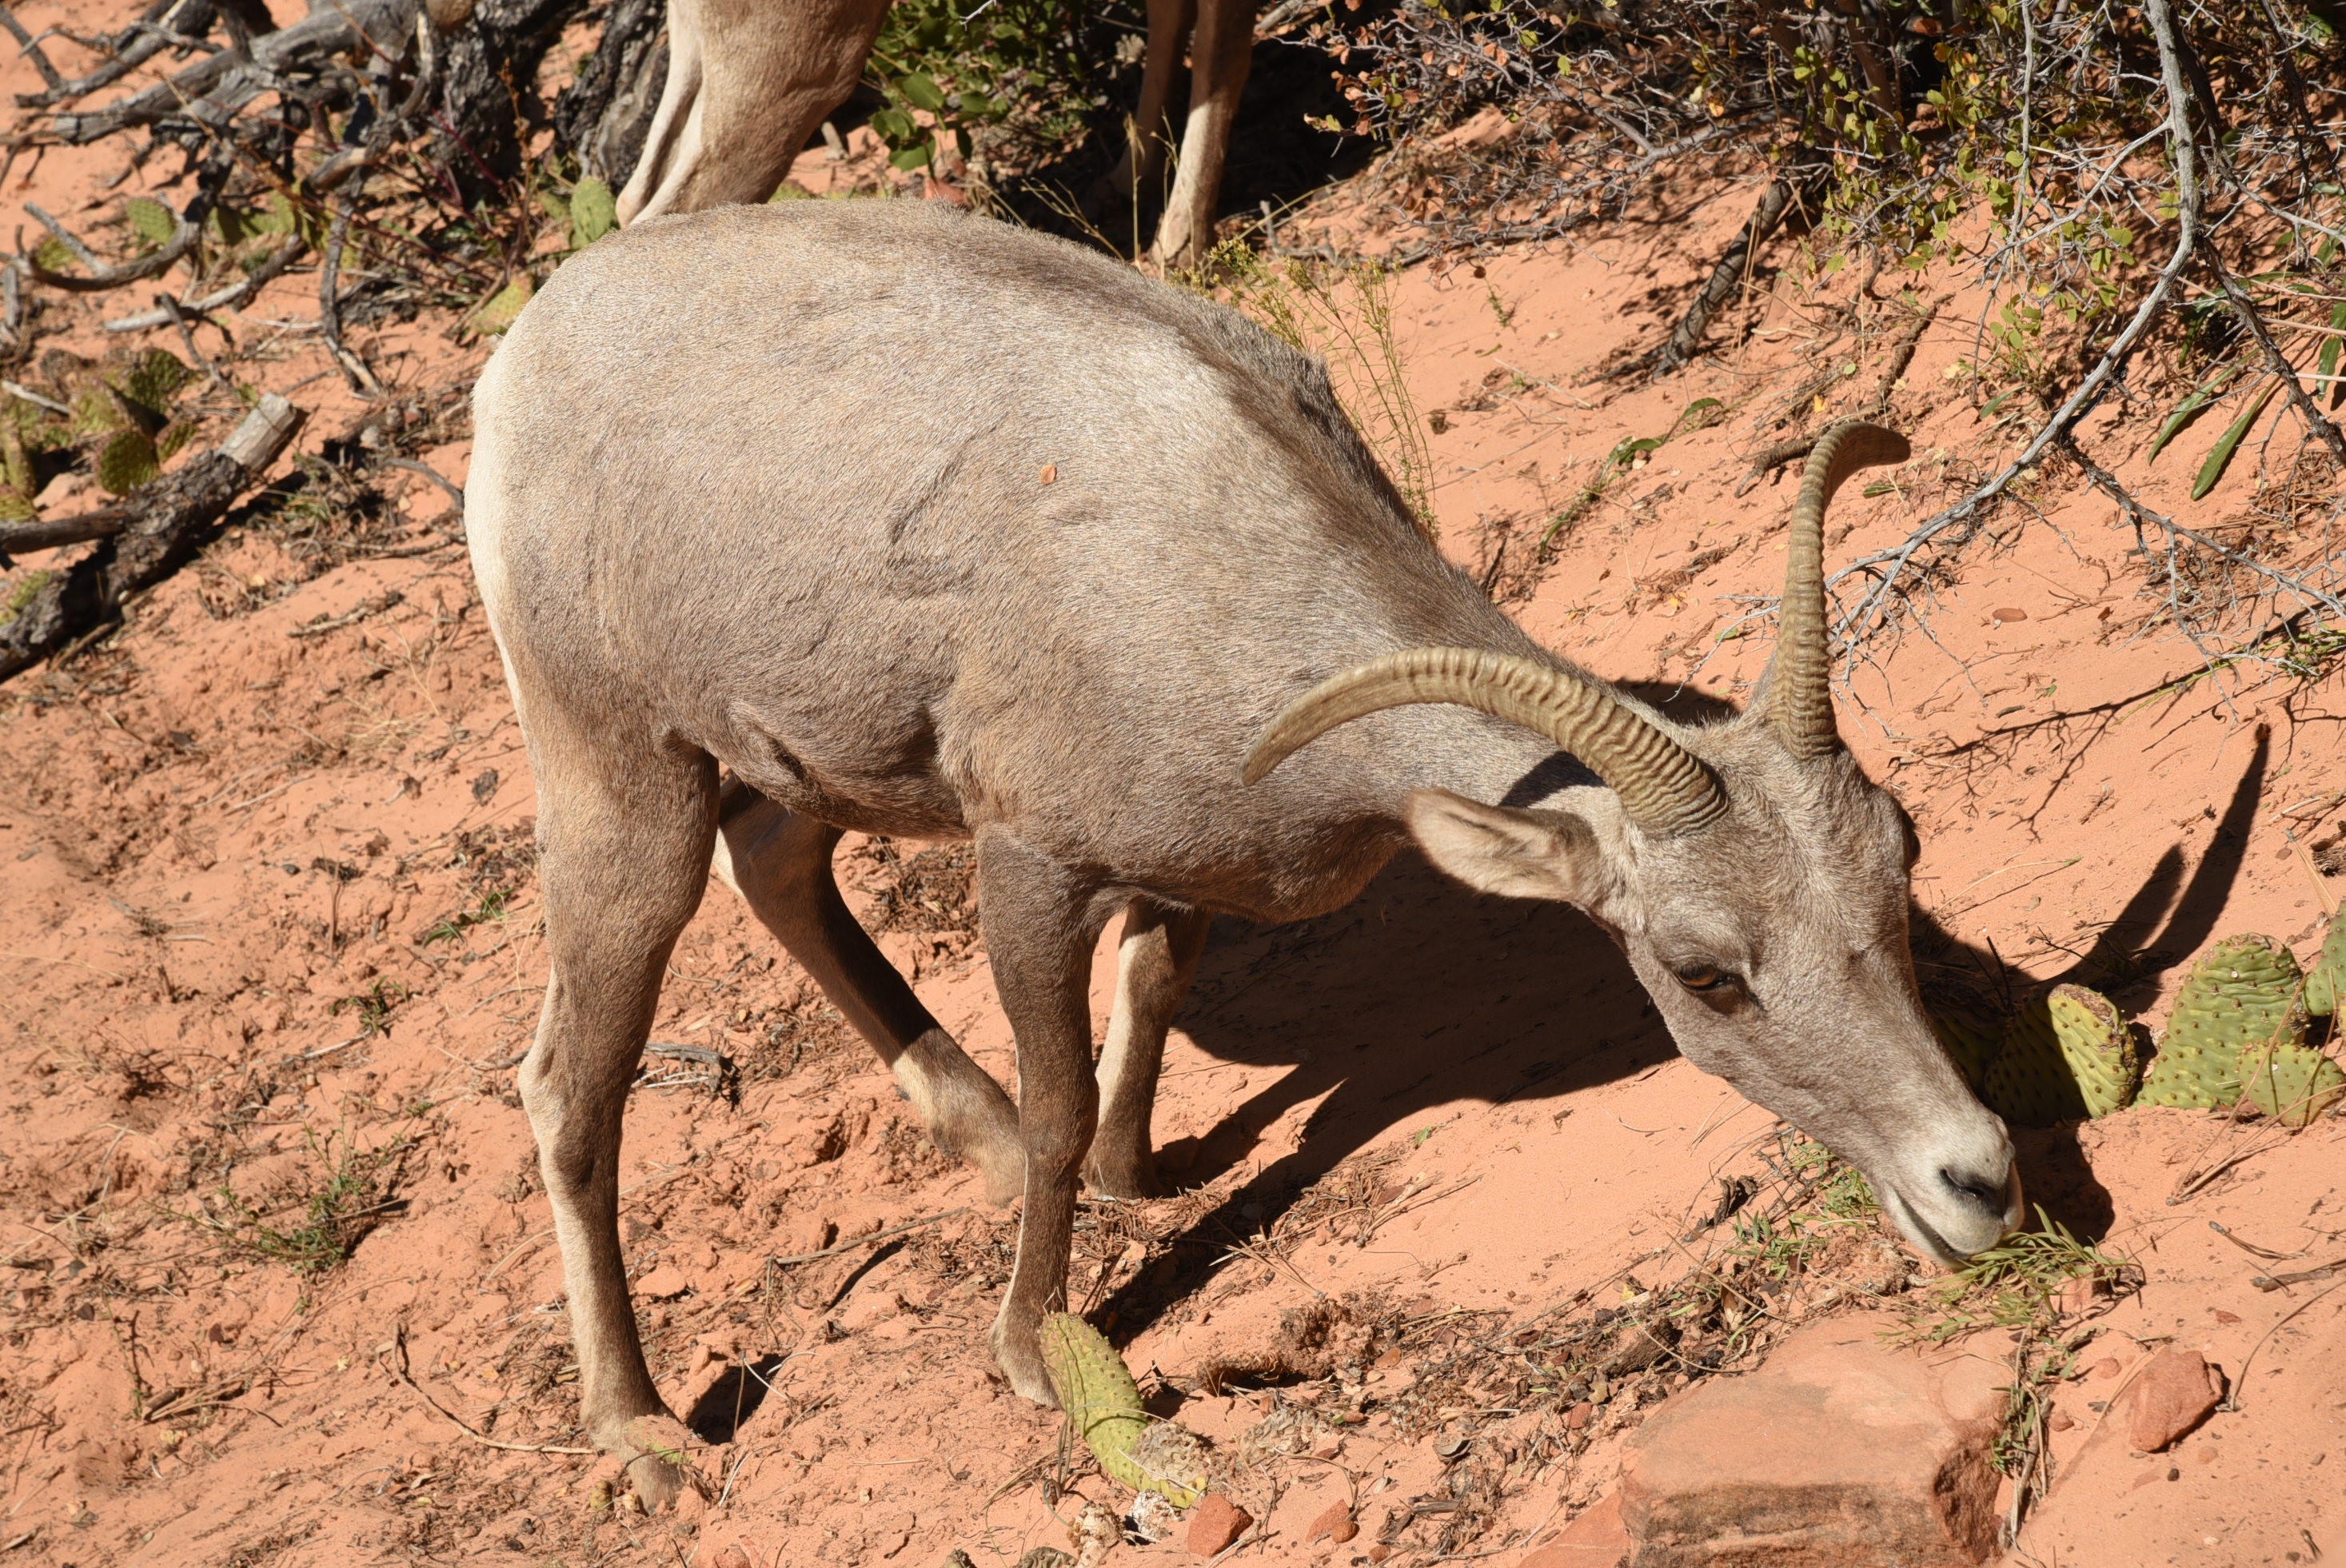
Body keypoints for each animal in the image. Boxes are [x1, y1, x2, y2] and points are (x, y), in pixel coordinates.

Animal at [466, 198, 2022, 1503]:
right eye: (1704, 973)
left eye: (1900, 861)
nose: (1978, 1182)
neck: (1219, 556)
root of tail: (525, 355)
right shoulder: (1028, 866)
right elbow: (1057, 1102)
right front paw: (1033, 1350)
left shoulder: (1175, 879)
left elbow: (1141, 1010)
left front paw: (1137, 1176)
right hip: (622, 788)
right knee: (568, 1087)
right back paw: (644, 1438)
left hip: (797, 759)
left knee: (779, 872)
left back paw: (962, 1147)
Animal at [615, 0, 1257, 267]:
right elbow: (1224, 52)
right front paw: (1186, 249)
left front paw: (1129, 181)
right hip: (797, 74)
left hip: (699, 49)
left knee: (632, 200)